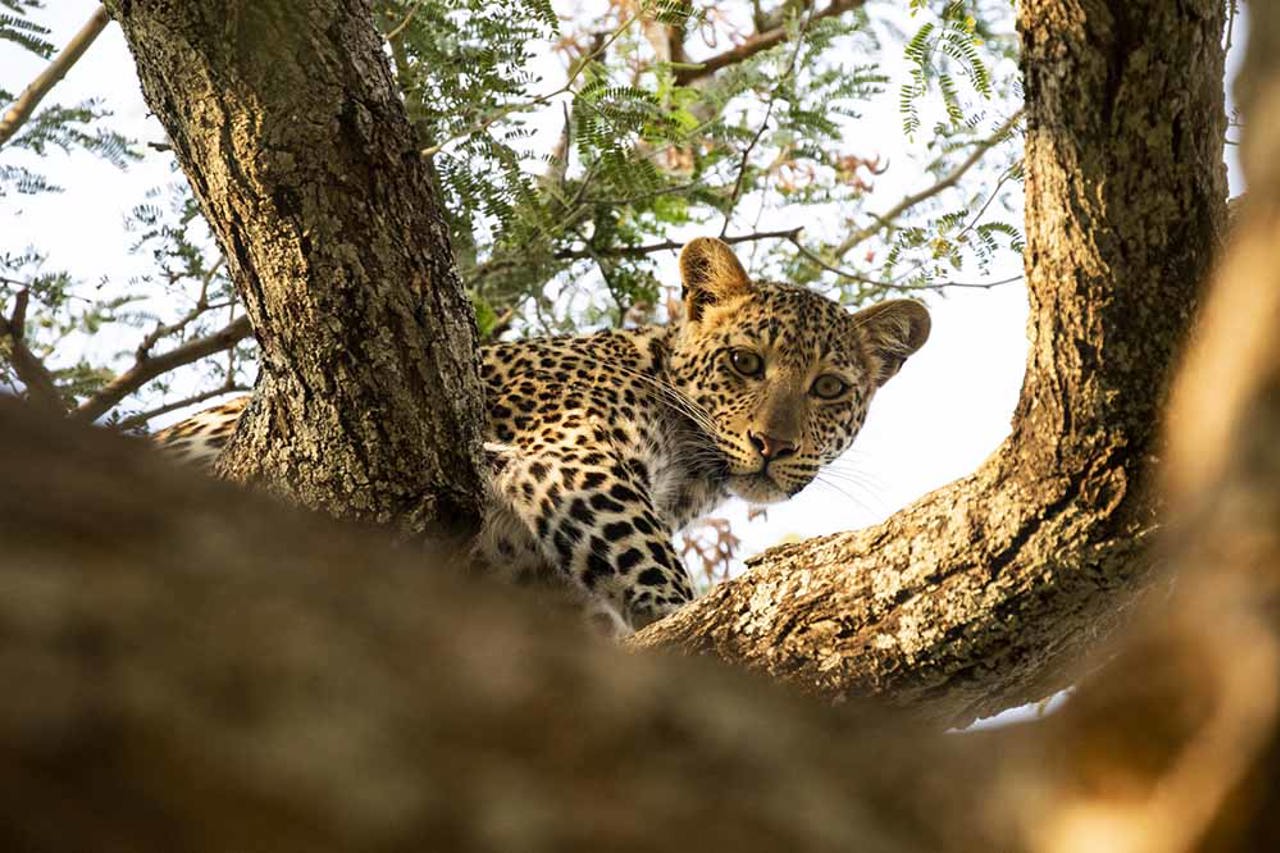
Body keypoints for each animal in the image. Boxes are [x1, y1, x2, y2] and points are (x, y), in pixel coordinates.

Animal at [154, 237, 931, 635]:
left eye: (829, 388)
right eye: (745, 362)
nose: (774, 446)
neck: (690, 474)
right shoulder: (571, 455)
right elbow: (653, 564)